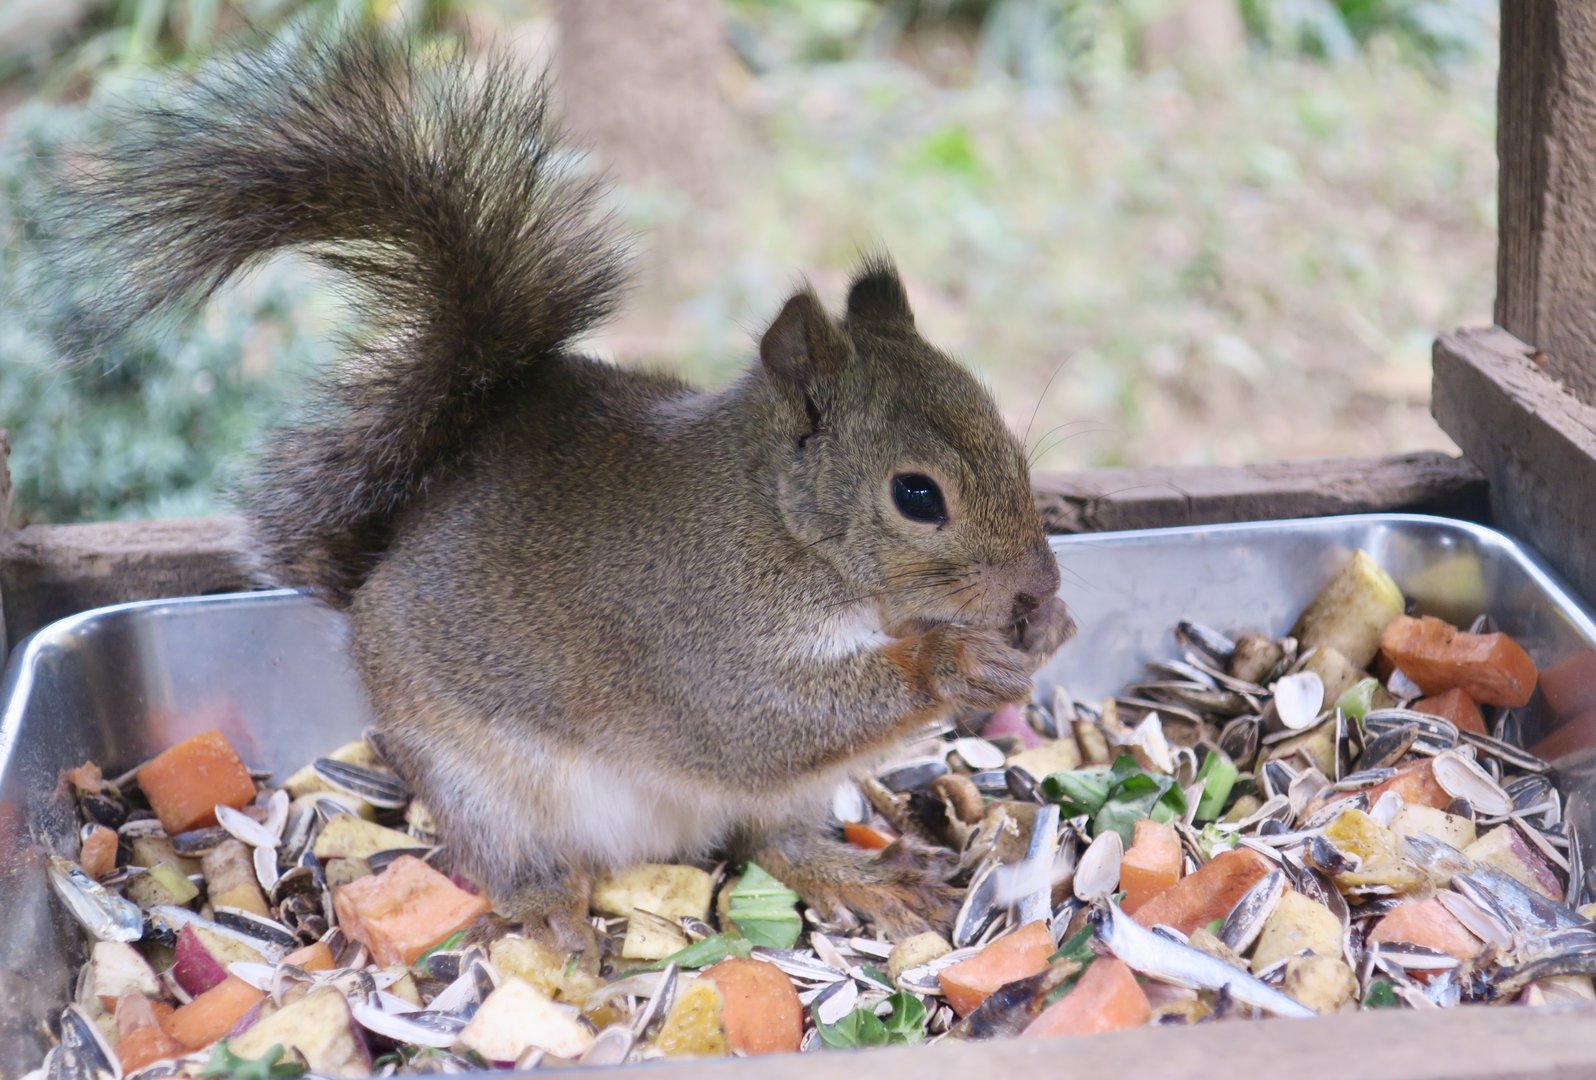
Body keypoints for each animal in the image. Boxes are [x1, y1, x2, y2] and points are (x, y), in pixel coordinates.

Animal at [62, 30, 1075, 950]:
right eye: (917, 497)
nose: (1040, 586)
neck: (782, 532)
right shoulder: (693, 632)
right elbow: (760, 718)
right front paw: (957, 662)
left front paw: (1045, 632)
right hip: (482, 785)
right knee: (507, 857)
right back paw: (547, 901)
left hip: (777, 803)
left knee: (774, 841)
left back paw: (860, 876)